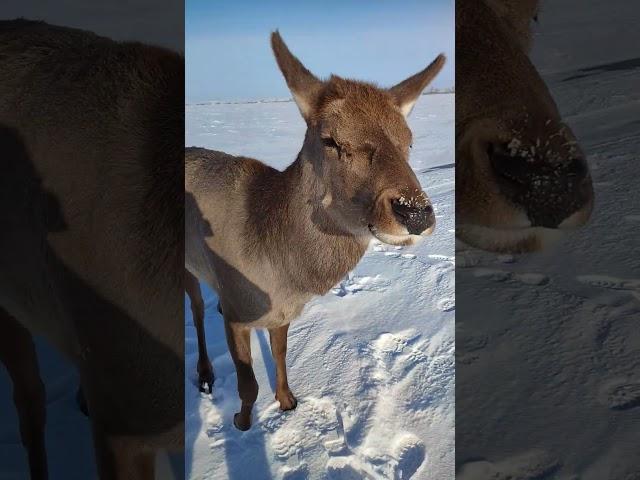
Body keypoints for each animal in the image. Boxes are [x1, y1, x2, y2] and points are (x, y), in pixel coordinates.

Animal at [185, 31, 444, 434]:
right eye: (331, 140)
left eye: (409, 140)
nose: (414, 211)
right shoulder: (240, 315)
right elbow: (248, 384)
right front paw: (242, 422)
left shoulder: (281, 313)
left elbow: (280, 353)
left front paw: (288, 401)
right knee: (195, 308)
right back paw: (204, 374)